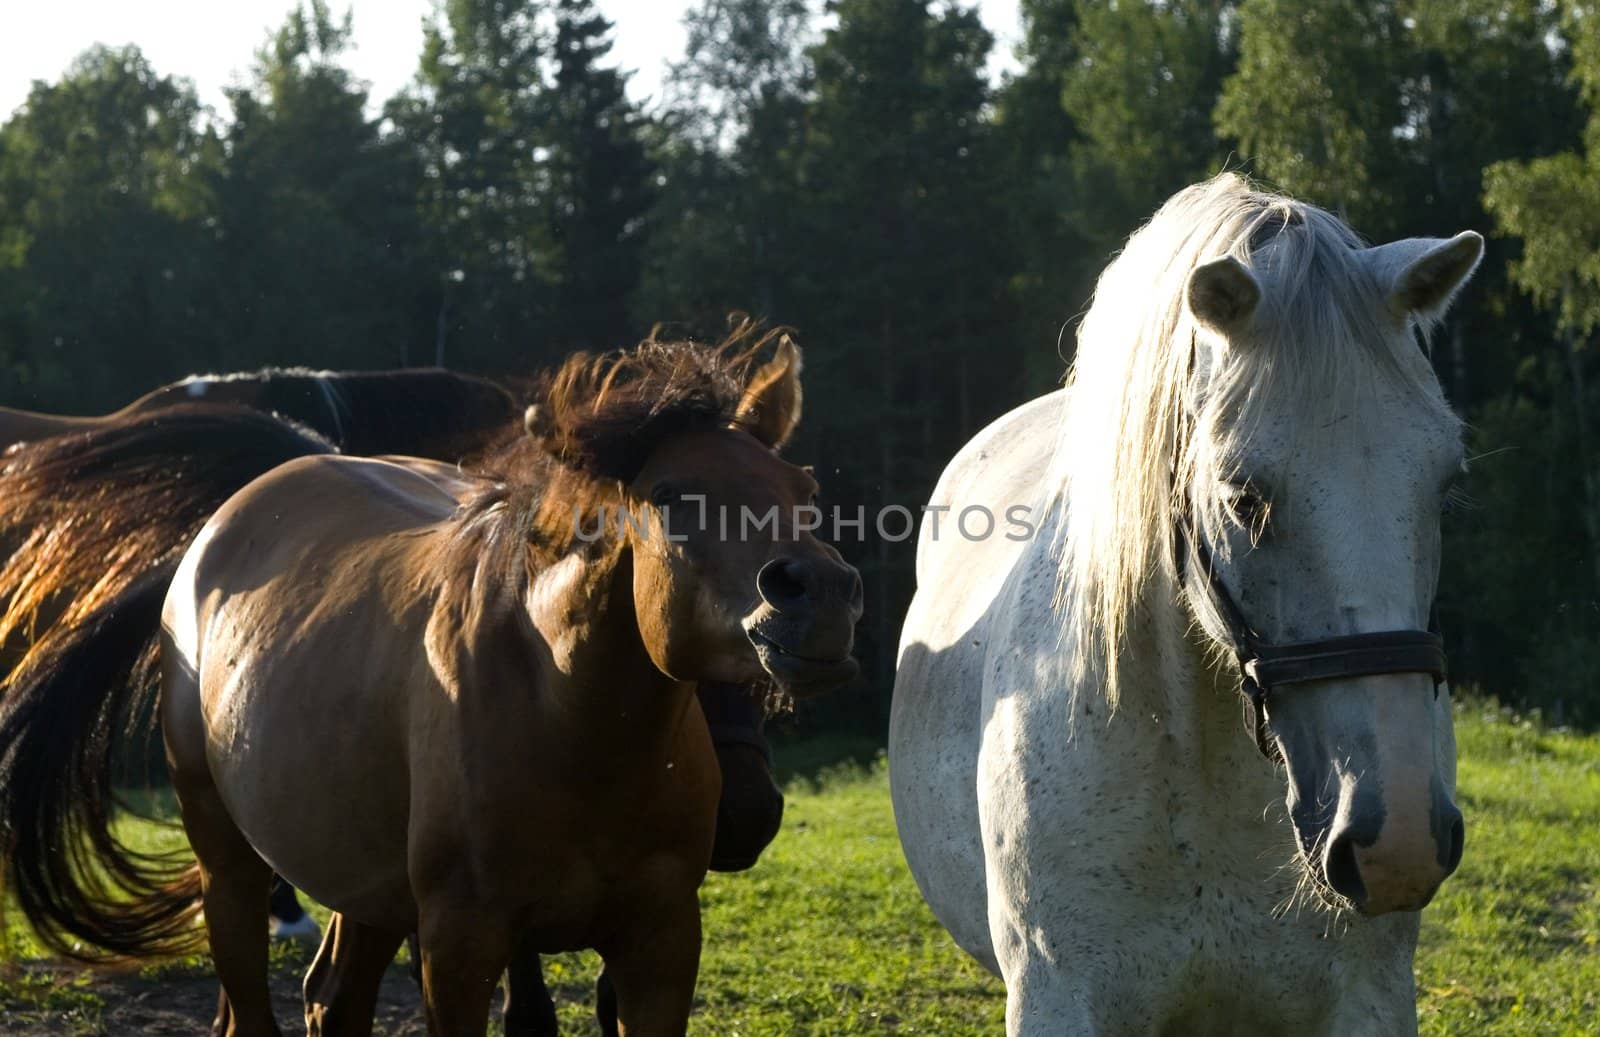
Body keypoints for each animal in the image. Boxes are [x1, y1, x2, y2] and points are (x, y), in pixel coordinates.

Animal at [0, 334, 864, 1037]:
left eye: (803, 488)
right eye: (671, 495)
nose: (819, 595)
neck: (567, 719)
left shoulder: (660, 942)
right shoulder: (459, 944)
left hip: (364, 881)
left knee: (334, 999)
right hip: (229, 861)